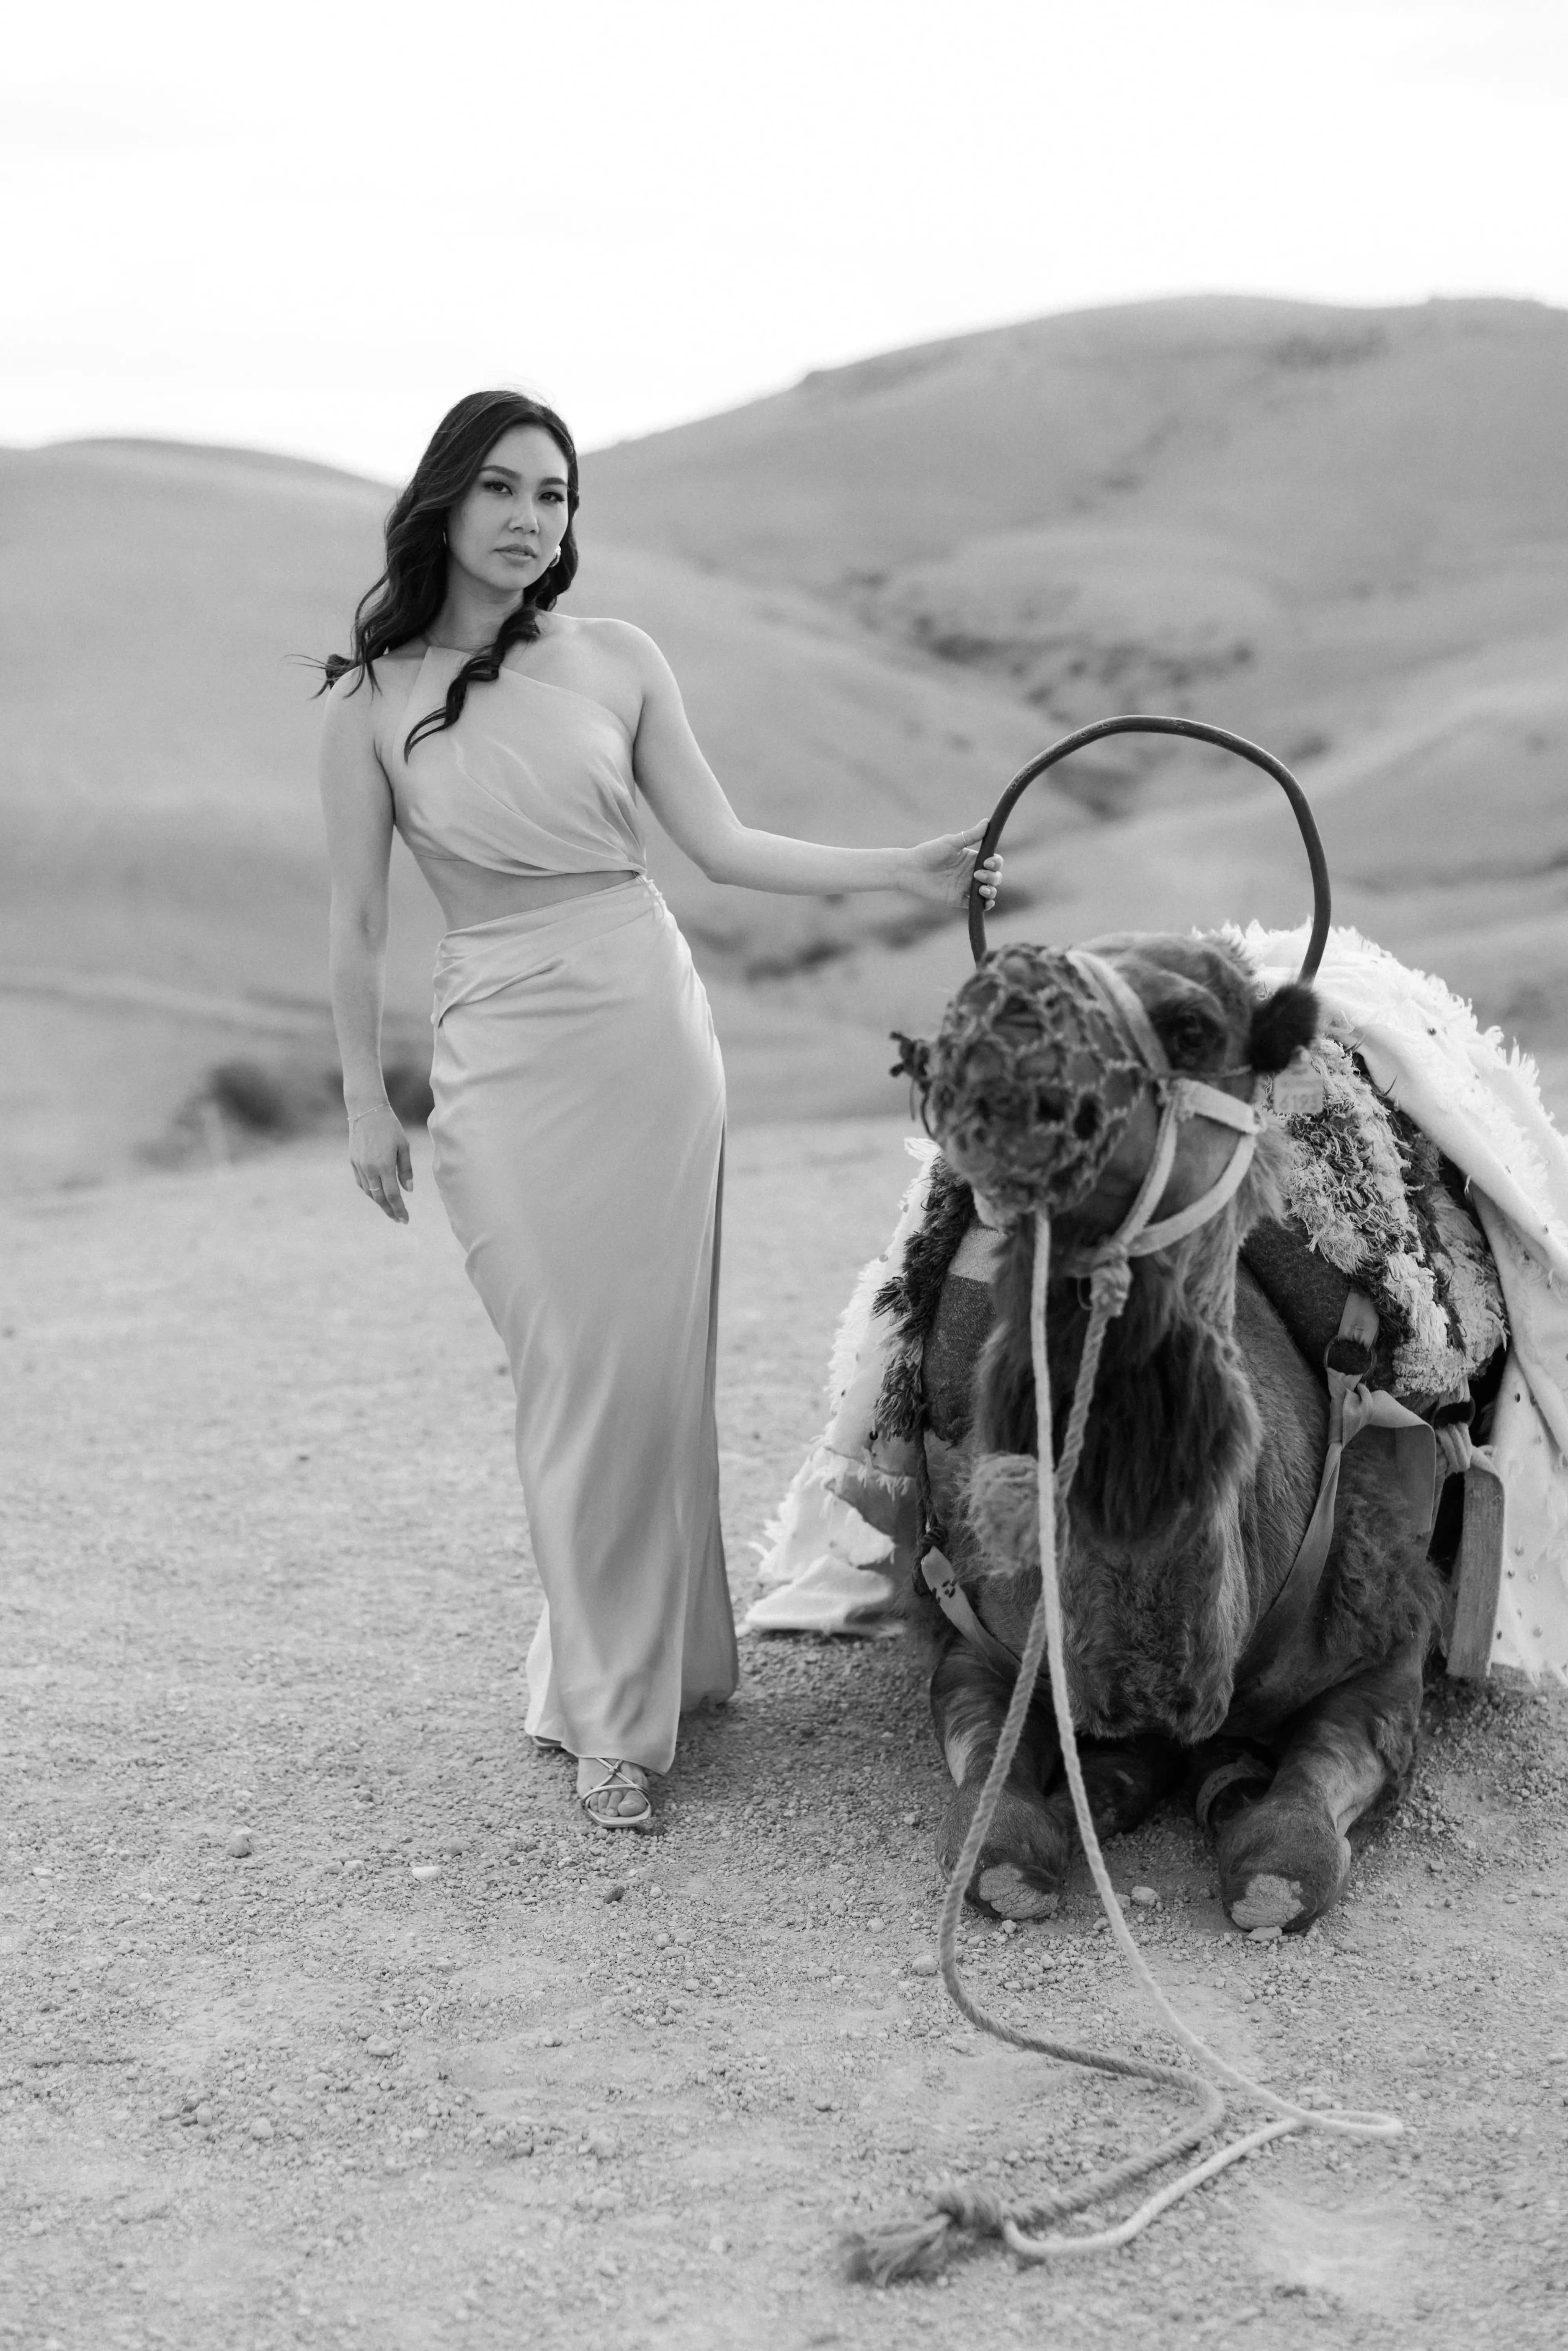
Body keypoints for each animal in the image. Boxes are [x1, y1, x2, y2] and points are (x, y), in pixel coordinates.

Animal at [893, 926, 1457, 1937]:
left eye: (1193, 1026)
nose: (1000, 1024)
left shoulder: (1388, 1626)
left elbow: (1293, 1848)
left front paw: (1252, 1824)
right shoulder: (975, 1629)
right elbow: (991, 1835)